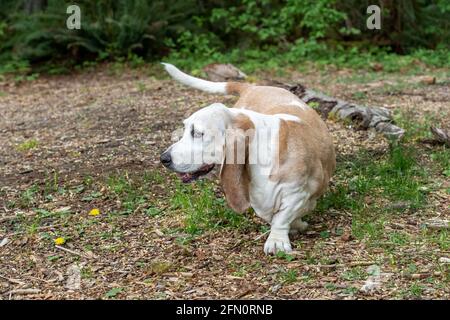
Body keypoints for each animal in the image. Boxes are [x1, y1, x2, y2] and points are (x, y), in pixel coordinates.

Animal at [158, 63, 334, 255]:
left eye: (197, 133)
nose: (163, 158)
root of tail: (252, 87)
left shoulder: (296, 193)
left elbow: (282, 217)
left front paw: (278, 240)